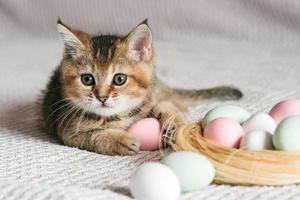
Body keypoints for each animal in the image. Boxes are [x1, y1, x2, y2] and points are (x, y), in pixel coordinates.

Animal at [41, 19, 243, 156]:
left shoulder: (151, 96)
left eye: (119, 79)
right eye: (87, 79)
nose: (102, 97)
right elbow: (92, 136)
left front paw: (172, 121)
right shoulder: (67, 130)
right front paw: (118, 141)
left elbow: (164, 105)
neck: (119, 116)